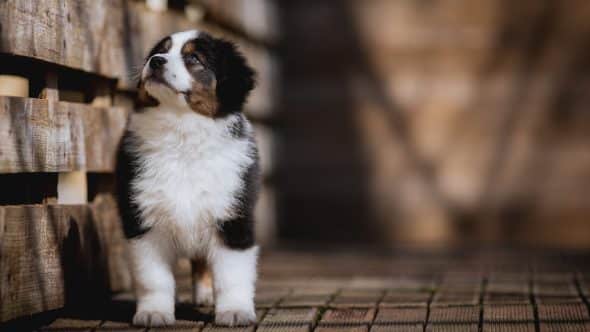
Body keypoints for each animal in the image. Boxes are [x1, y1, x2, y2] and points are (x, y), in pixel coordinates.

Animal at [117, 29, 260, 326]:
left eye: (194, 58)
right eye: (158, 51)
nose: (156, 61)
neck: (182, 133)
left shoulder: (233, 216)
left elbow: (232, 275)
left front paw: (235, 311)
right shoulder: (143, 221)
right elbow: (153, 278)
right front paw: (154, 312)